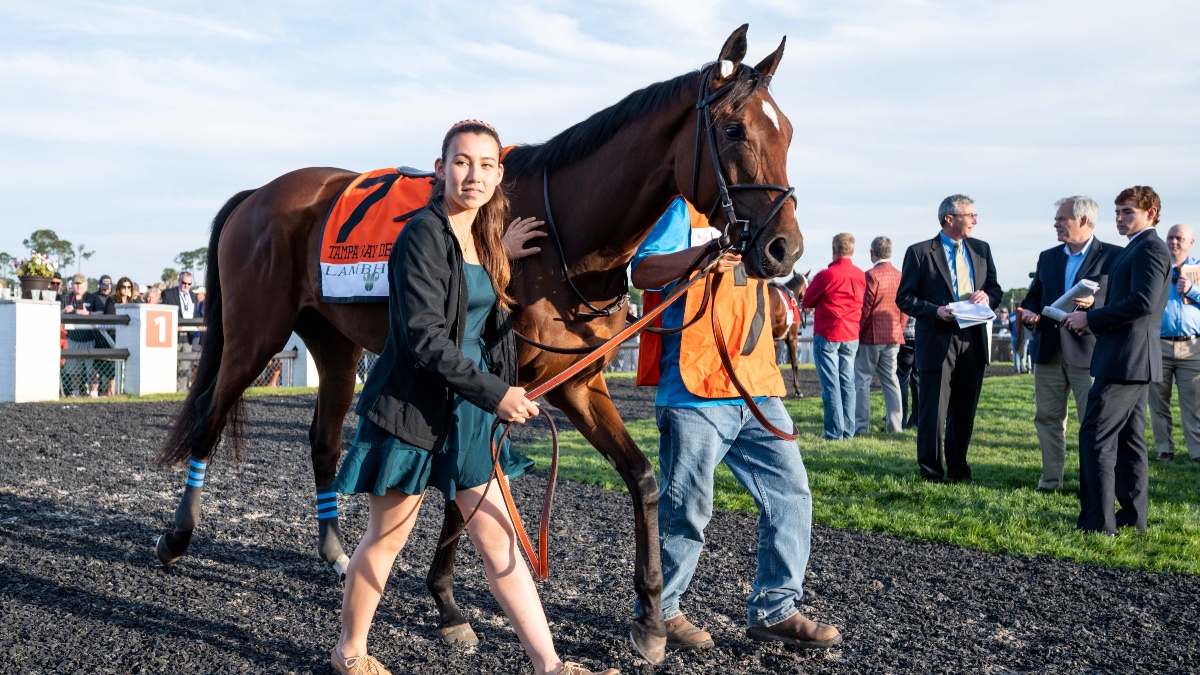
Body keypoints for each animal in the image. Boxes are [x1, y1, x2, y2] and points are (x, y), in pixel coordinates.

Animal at [154, 26, 801, 662]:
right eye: (734, 129)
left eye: (788, 132)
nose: (783, 249)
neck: (560, 232)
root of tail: (260, 193)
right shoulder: (501, 380)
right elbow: (465, 481)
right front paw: (447, 603)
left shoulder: (578, 380)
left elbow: (640, 476)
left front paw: (650, 618)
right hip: (253, 334)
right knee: (210, 418)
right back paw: (177, 537)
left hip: (334, 343)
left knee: (323, 441)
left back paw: (335, 553)